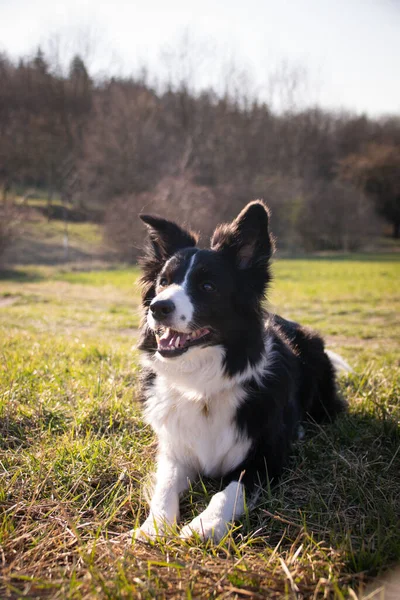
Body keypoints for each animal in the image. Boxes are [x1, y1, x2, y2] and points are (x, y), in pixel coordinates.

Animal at [134, 202, 346, 544]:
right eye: (163, 282)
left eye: (208, 287)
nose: (158, 307)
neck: (203, 387)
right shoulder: (175, 450)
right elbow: (164, 488)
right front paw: (154, 526)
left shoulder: (264, 460)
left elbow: (229, 492)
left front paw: (205, 525)